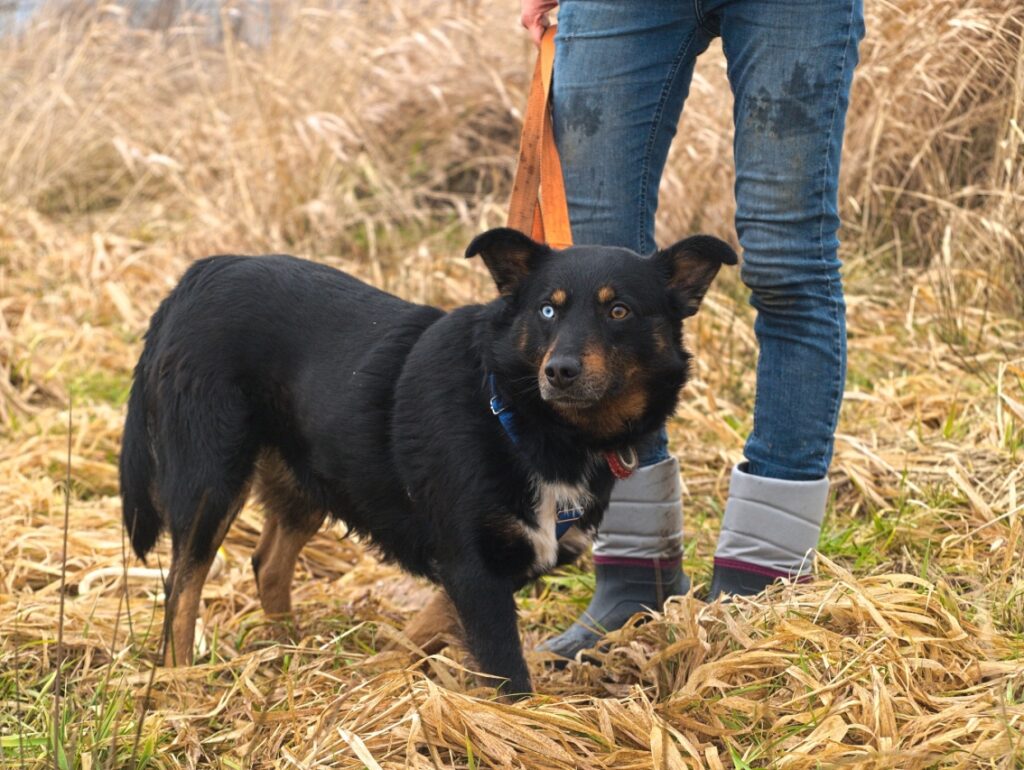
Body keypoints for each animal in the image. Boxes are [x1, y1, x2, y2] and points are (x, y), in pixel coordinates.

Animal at [119, 225, 737, 696]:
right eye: (546, 310)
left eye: (619, 311)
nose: (559, 371)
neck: (523, 420)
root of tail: (200, 274)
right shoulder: (473, 565)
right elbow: (507, 675)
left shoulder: (491, 566)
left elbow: (422, 632)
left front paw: (376, 675)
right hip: (210, 478)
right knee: (181, 588)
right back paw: (180, 688)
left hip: (308, 474)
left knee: (267, 563)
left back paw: (289, 651)